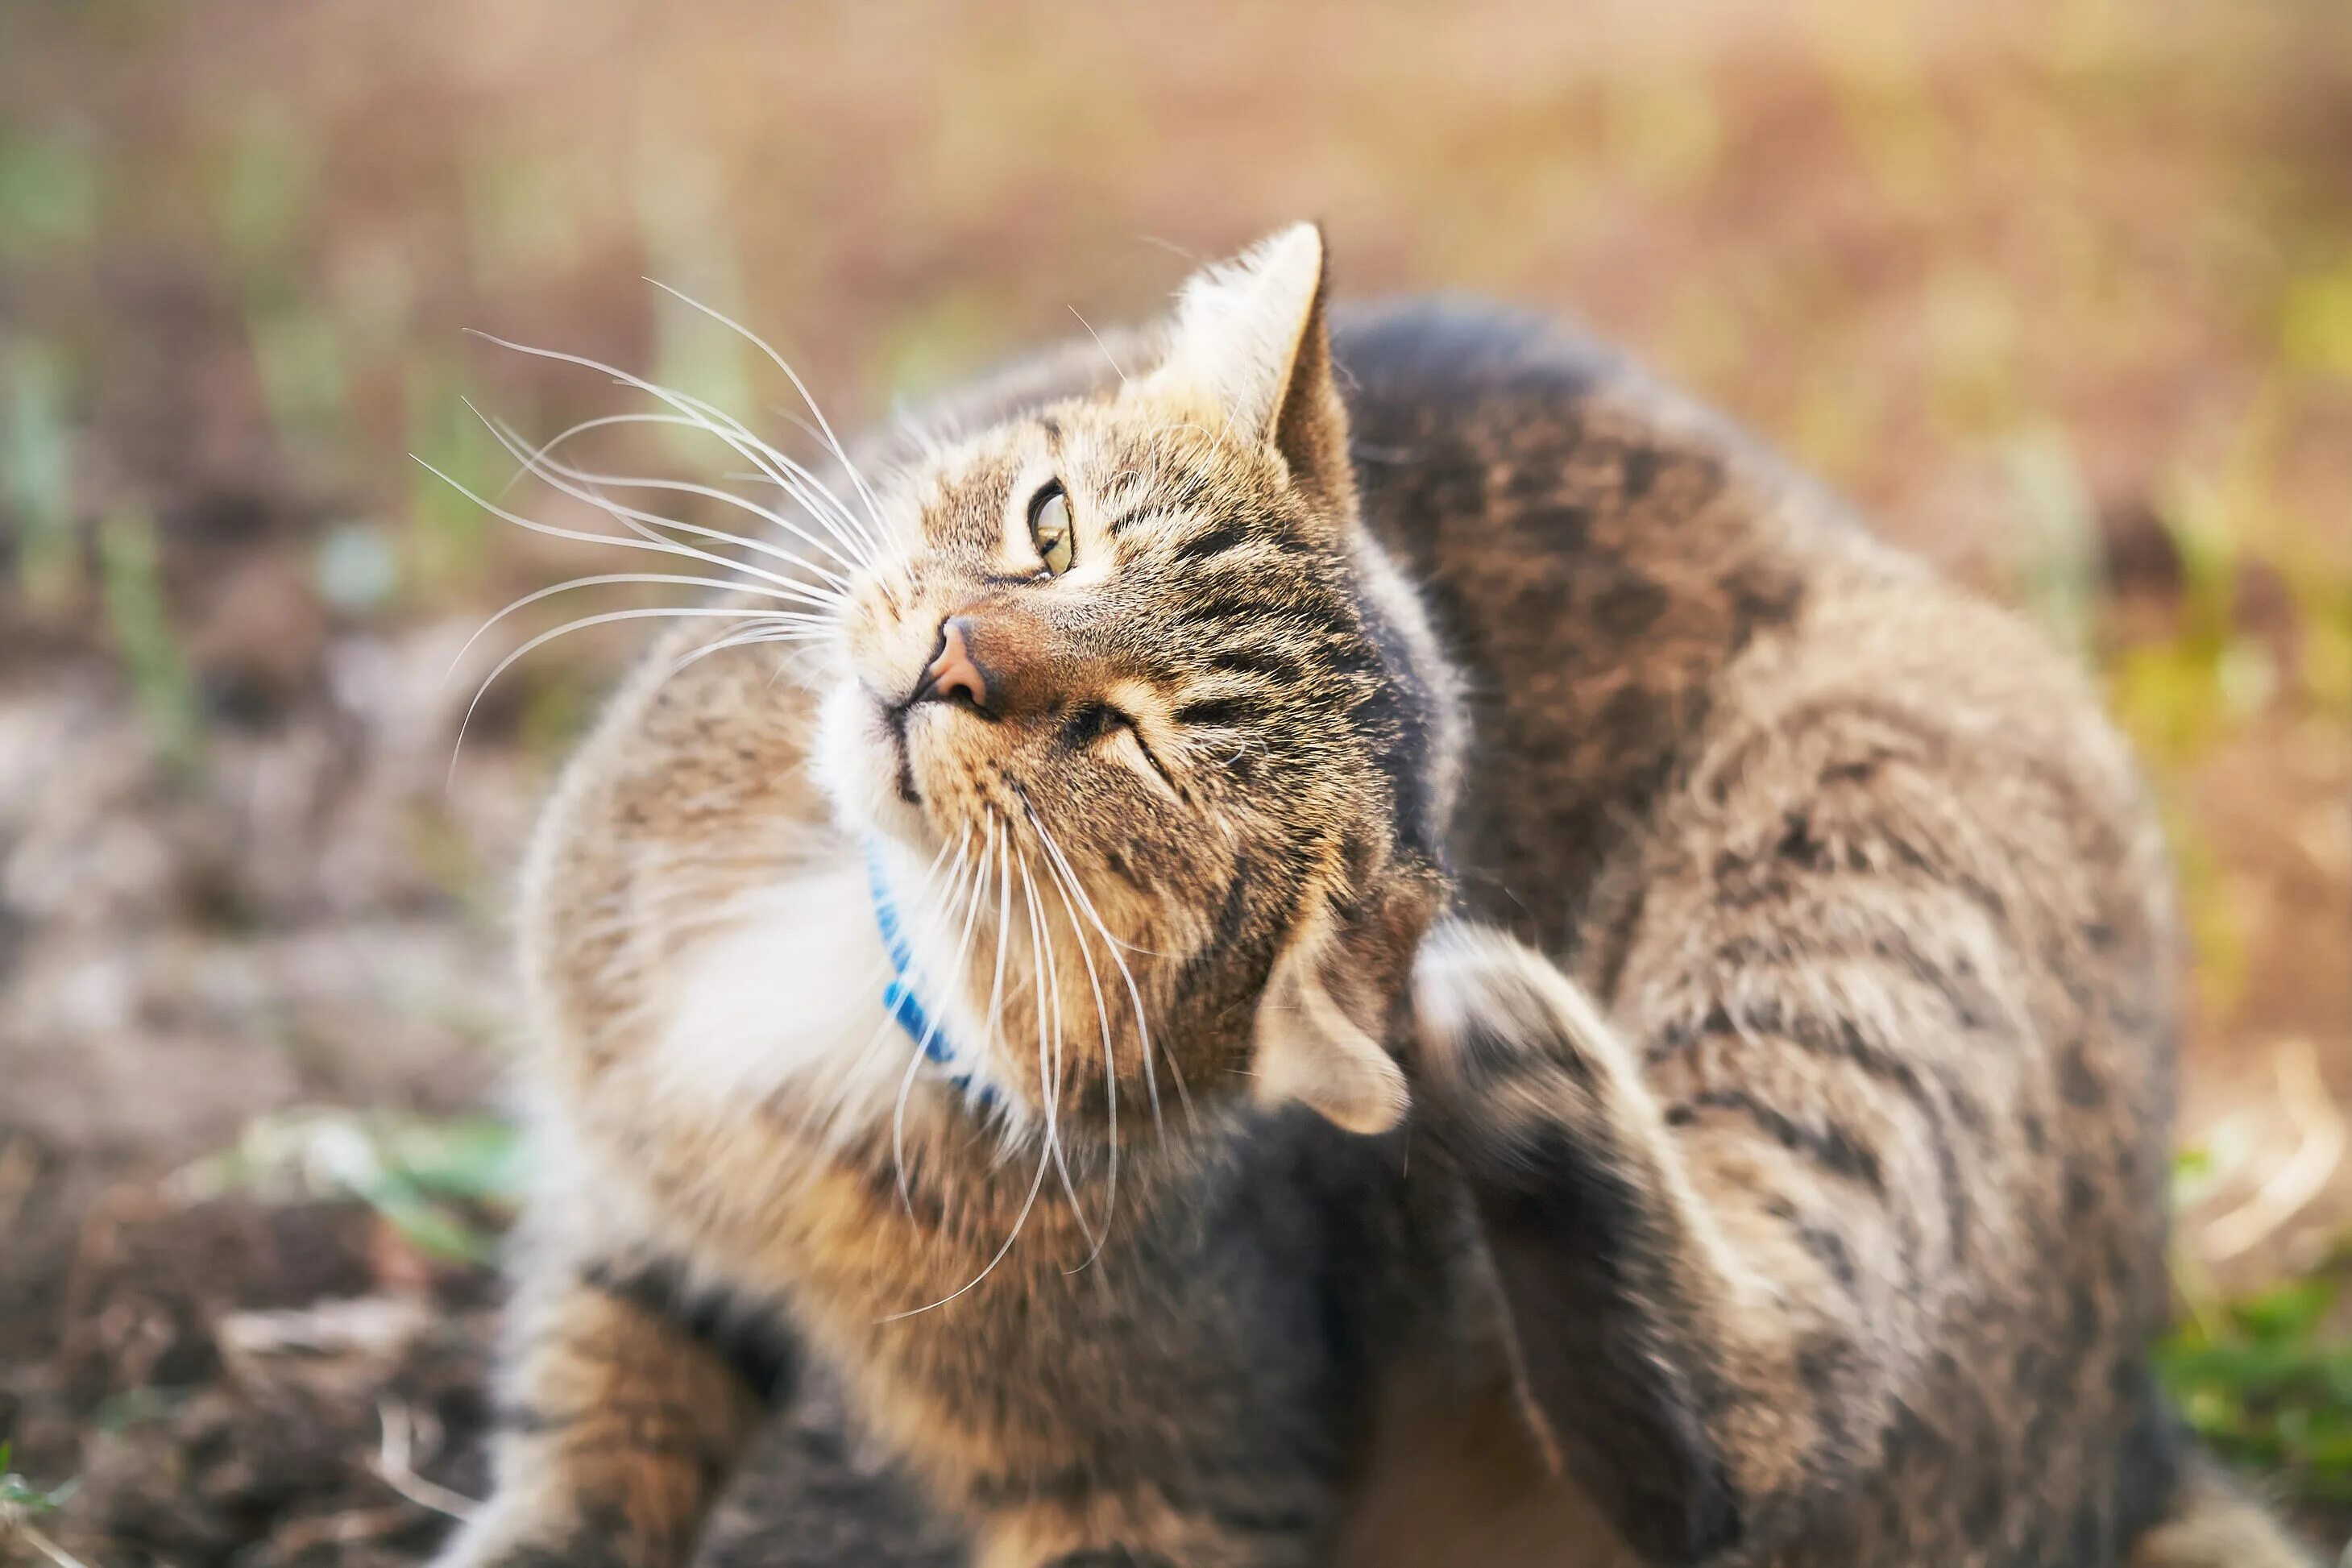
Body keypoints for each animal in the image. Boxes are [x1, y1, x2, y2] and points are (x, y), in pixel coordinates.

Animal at [433, 223, 2304, 1568]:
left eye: (1138, 746)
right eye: (1052, 528)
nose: (957, 654)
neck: (880, 942)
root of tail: (2124, 1427)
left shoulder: (1178, 1481)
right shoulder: (629, 1231)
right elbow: (582, 1453)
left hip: (1868, 824)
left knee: (1763, 1444)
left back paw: (1528, 1065)